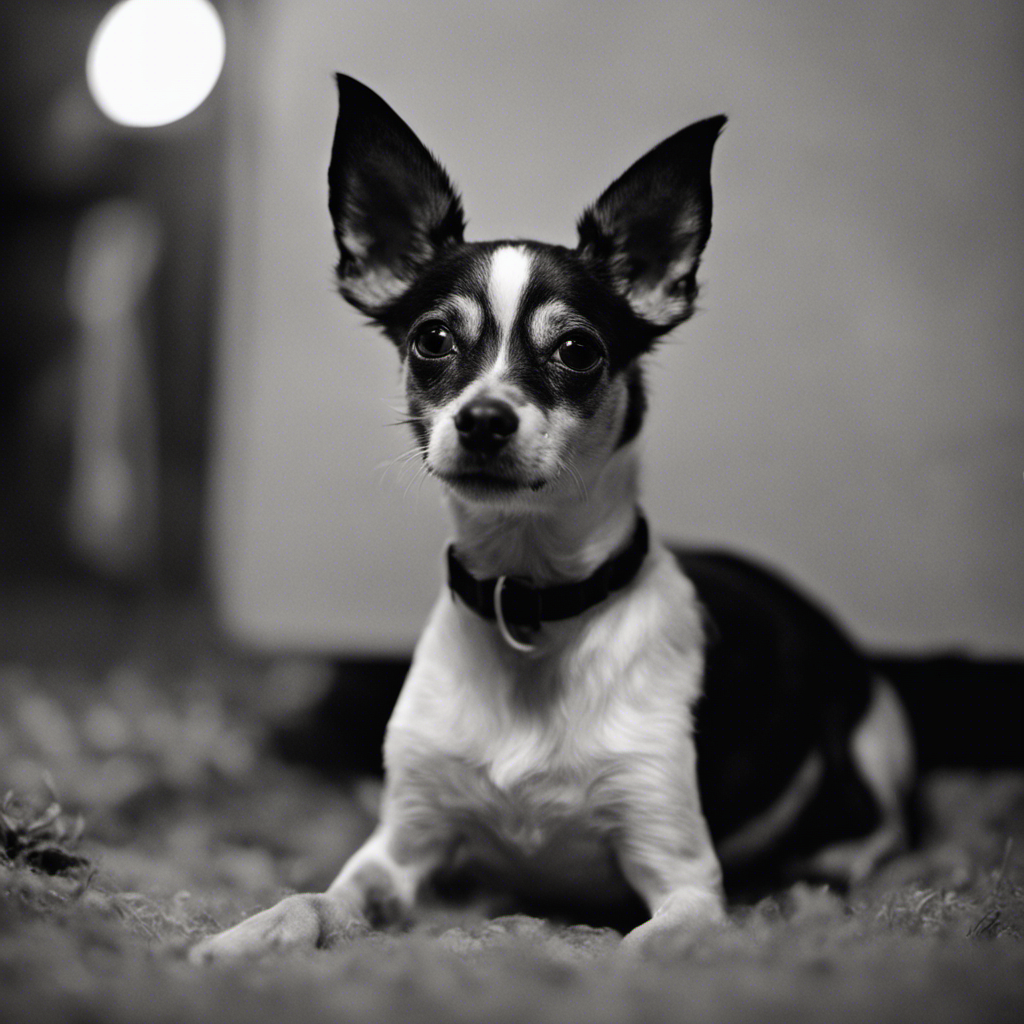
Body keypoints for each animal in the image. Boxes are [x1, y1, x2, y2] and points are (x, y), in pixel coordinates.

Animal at [192, 77, 913, 958]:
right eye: (433, 340)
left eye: (578, 351)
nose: (484, 419)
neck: (527, 596)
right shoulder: (398, 852)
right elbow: (316, 900)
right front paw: (244, 939)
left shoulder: (684, 882)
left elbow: (638, 951)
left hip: (877, 740)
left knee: (879, 827)